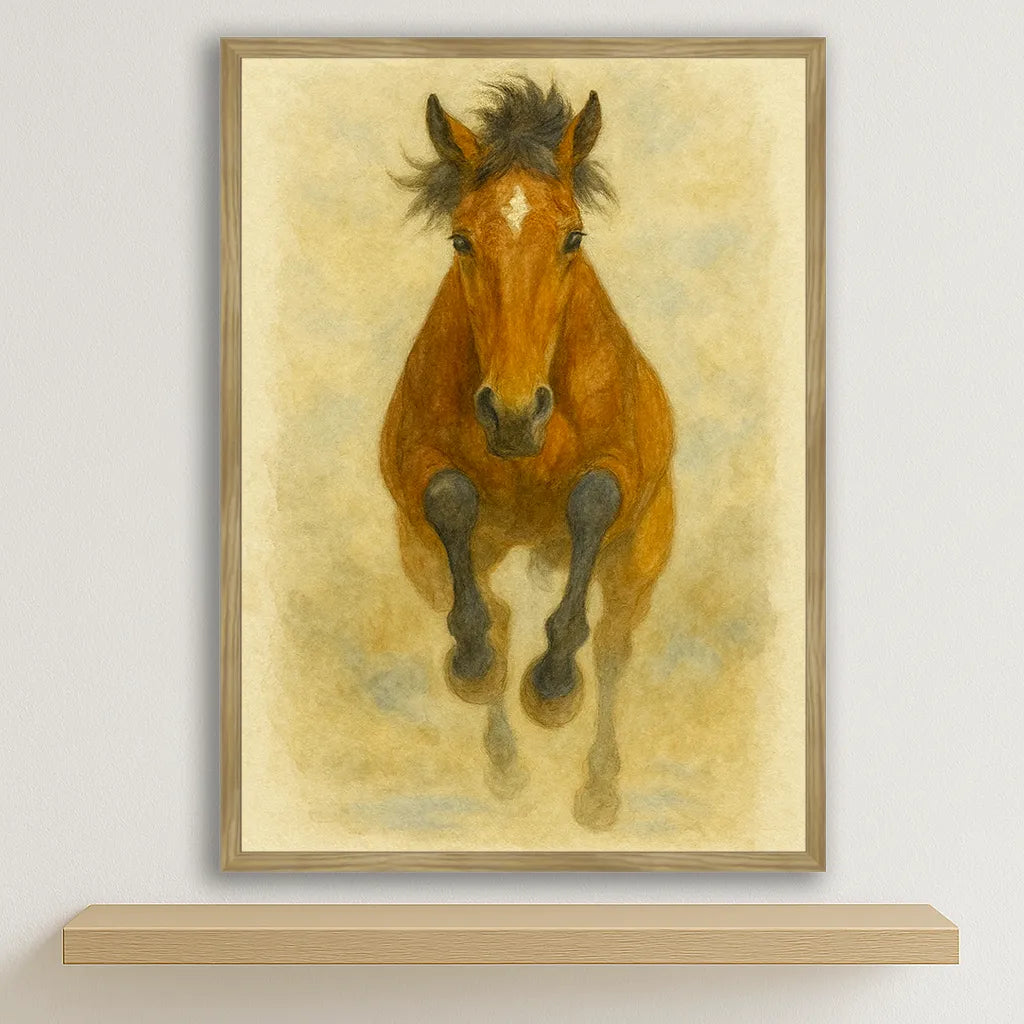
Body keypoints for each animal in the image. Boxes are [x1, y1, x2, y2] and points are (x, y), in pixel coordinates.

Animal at [379, 79, 674, 830]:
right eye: (461, 238)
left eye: (573, 236)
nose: (513, 412)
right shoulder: (412, 475)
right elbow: (448, 496)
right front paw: (474, 661)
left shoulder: (622, 470)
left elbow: (593, 499)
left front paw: (553, 684)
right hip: (427, 559)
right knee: (498, 616)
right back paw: (503, 753)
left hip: (641, 558)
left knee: (614, 650)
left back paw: (598, 789)